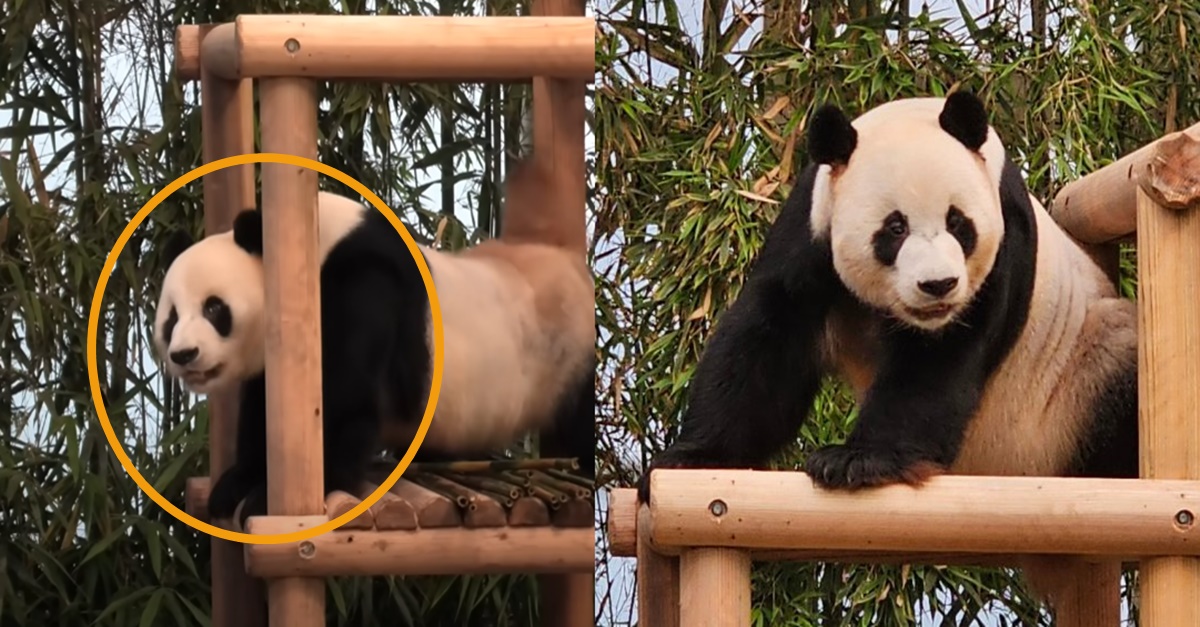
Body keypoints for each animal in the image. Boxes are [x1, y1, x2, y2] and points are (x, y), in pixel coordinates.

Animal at [154, 160, 595, 521]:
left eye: (214, 309)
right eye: (171, 318)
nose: (184, 354)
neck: (310, 245)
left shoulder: (366, 285)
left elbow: (346, 399)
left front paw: (268, 497)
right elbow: (263, 406)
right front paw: (236, 483)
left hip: (568, 360)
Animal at [633, 93, 1137, 605]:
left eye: (958, 223)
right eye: (894, 229)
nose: (938, 285)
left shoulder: (1002, 245)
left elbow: (939, 362)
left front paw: (854, 461)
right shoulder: (811, 228)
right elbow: (767, 340)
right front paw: (692, 457)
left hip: (1069, 392)